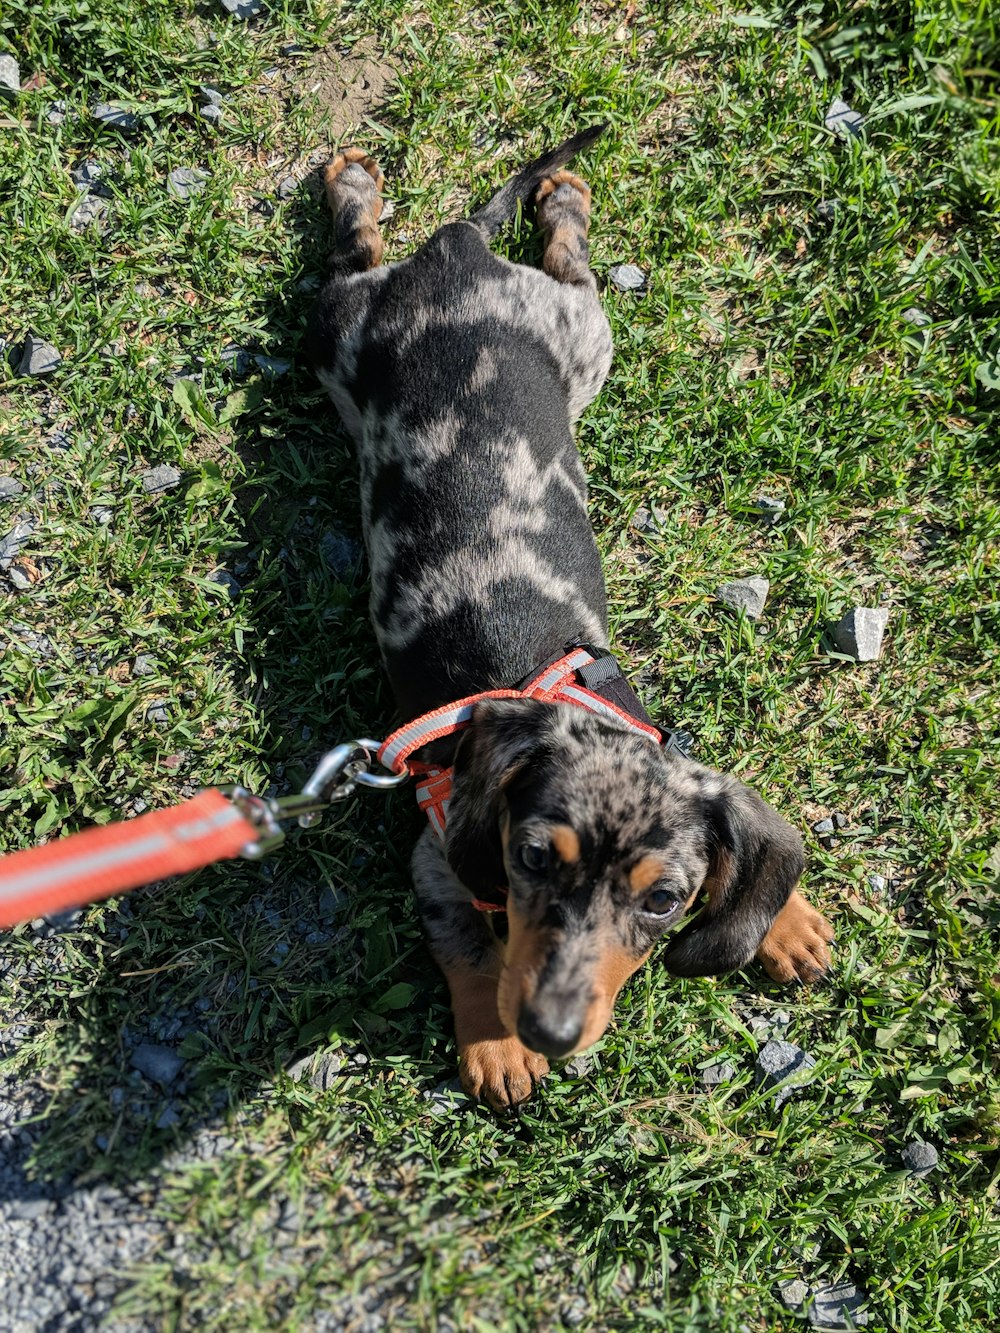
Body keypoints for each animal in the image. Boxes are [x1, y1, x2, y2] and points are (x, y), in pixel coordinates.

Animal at [304, 125, 832, 1109]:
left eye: (663, 898)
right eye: (532, 859)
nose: (547, 1030)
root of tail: (459, 253)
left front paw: (785, 919)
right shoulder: (436, 858)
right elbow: (470, 947)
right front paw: (494, 1044)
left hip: (580, 344)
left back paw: (556, 196)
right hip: (355, 330)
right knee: (362, 254)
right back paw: (365, 186)